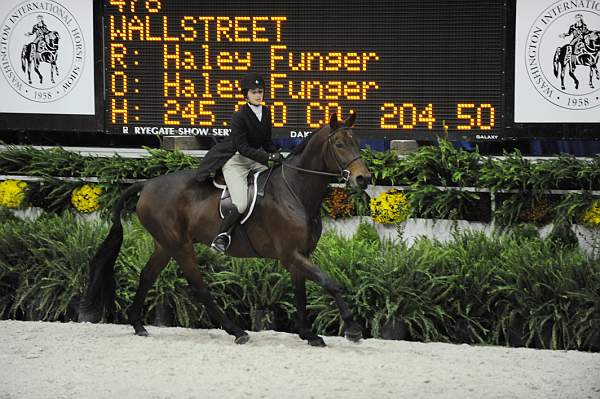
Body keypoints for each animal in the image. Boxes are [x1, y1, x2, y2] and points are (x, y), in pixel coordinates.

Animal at [77, 112, 372, 346]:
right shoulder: (290, 254)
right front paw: (353, 329)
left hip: (165, 245)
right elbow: (330, 283)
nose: (364, 179)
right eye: (339, 144)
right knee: (198, 287)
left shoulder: (299, 255)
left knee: (147, 276)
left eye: (357, 142)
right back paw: (237, 331)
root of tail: (146, 185)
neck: (296, 192)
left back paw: (138, 325)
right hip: (180, 246)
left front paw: (308, 334)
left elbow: (301, 292)